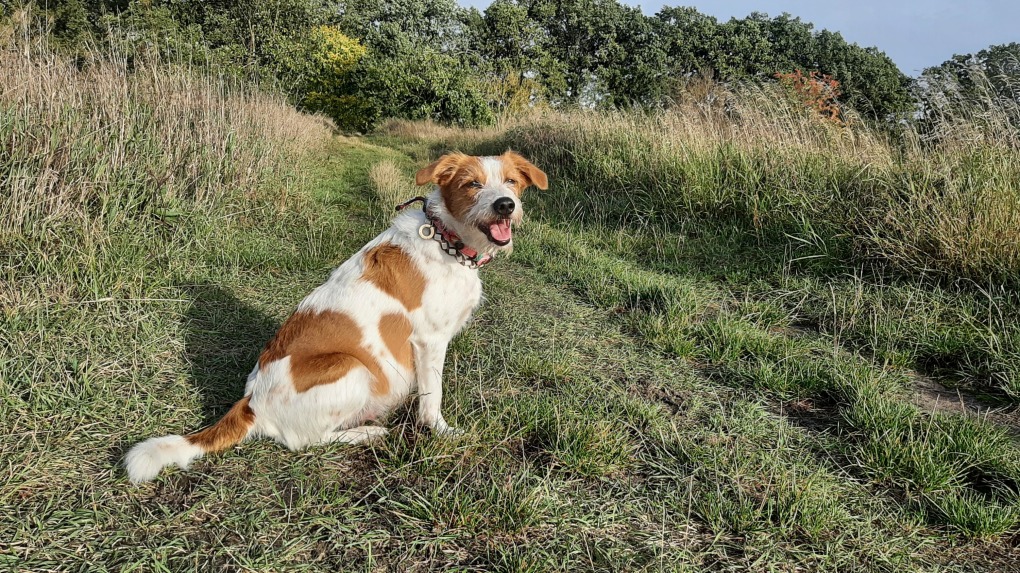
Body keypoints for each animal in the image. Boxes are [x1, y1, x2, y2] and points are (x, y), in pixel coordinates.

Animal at [125, 149, 550, 479]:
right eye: (472, 184)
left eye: (511, 182)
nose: (505, 205)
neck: (447, 240)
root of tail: (250, 404)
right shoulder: (429, 341)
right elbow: (433, 397)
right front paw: (441, 431)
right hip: (351, 367)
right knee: (303, 441)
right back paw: (365, 433)